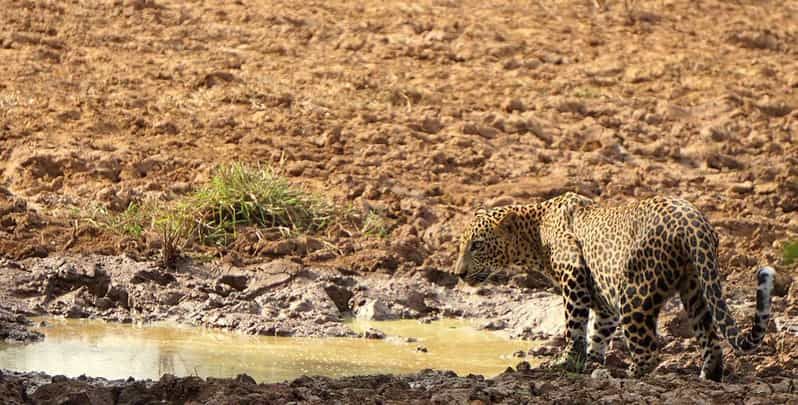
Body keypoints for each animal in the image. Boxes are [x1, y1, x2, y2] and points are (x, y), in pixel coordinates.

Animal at [456, 191, 776, 380]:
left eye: (477, 245)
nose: (458, 273)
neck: (534, 231)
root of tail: (693, 221)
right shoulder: (602, 297)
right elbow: (600, 330)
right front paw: (594, 360)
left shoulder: (573, 275)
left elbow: (574, 327)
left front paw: (567, 362)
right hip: (696, 287)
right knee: (710, 337)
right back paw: (708, 375)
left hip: (636, 294)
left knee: (648, 349)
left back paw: (628, 375)